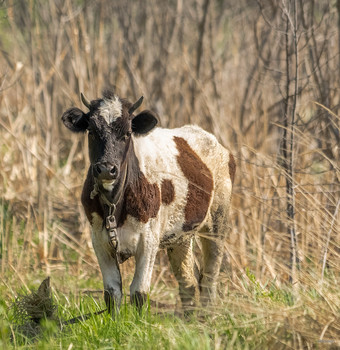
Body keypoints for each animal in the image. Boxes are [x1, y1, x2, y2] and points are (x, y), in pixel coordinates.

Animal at [61, 90, 235, 314]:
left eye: (127, 133)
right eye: (91, 131)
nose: (107, 169)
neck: (115, 204)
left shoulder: (149, 240)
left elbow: (139, 292)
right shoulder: (99, 240)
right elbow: (112, 292)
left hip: (217, 221)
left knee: (209, 278)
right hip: (181, 235)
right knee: (188, 282)